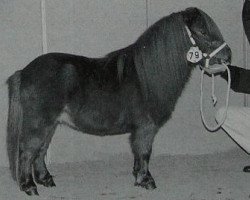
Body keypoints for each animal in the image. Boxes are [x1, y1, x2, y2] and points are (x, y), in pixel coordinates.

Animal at [6, 7, 231, 195]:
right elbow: (145, 152)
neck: (146, 76)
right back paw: (29, 187)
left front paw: (138, 176)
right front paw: (147, 181)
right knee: (28, 151)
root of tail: (24, 72)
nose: (228, 56)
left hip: (50, 124)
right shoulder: (146, 127)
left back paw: (46, 180)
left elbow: (138, 154)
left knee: (41, 150)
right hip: (39, 123)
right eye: (202, 32)